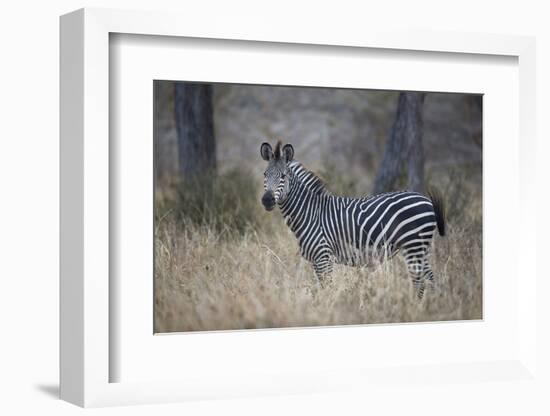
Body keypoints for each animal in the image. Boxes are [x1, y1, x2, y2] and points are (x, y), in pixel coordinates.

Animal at [260, 141, 446, 298]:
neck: (310, 212)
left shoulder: (323, 256)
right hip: (421, 247)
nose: (267, 200)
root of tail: (426, 199)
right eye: (265, 174)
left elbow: (327, 289)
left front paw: (329, 309)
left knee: (420, 281)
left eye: (283, 176)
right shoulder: (318, 260)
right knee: (429, 279)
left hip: (414, 245)